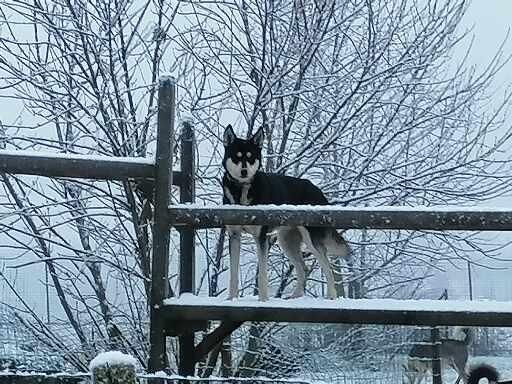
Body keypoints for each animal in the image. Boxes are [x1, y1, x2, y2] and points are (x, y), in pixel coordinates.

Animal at [222, 124, 350, 302]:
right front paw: (231, 299)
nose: (244, 171)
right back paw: (296, 296)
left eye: (250, 157)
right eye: (236, 157)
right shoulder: (234, 235)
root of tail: (316, 189)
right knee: (303, 267)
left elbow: (262, 274)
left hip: (311, 240)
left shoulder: (261, 237)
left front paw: (263, 301)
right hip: (286, 241)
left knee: (328, 267)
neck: (242, 190)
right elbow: (233, 274)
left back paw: (331, 297)